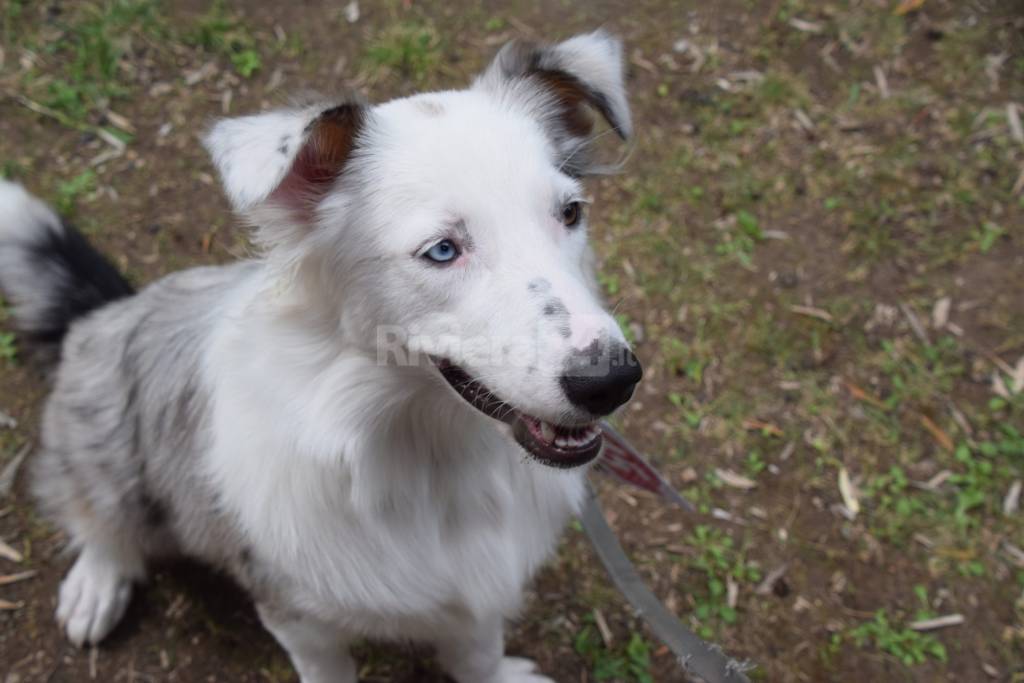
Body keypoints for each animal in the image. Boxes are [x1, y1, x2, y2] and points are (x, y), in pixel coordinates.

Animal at [0, 31, 638, 683]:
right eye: (441, 250)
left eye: (570, 213)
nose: (613, 381)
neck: (436, 459)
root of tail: (105, 310)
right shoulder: (296, 613)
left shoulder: (479, 590)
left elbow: (477, 651)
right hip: (108, 444)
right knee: (96, 514)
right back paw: (97, 581)